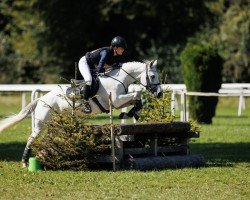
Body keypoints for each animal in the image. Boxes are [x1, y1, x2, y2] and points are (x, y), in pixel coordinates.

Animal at [0, 59, 161, 167]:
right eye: (153, 76)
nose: (159, 94)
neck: (119, 79)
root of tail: (41, 99)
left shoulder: (120, 101)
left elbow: (136, 99)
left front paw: (129, 113)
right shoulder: (115, 100)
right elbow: (137, 93)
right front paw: (129, 113)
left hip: (52, 123)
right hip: (42, 123)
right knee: (31, 138)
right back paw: (24, 163)